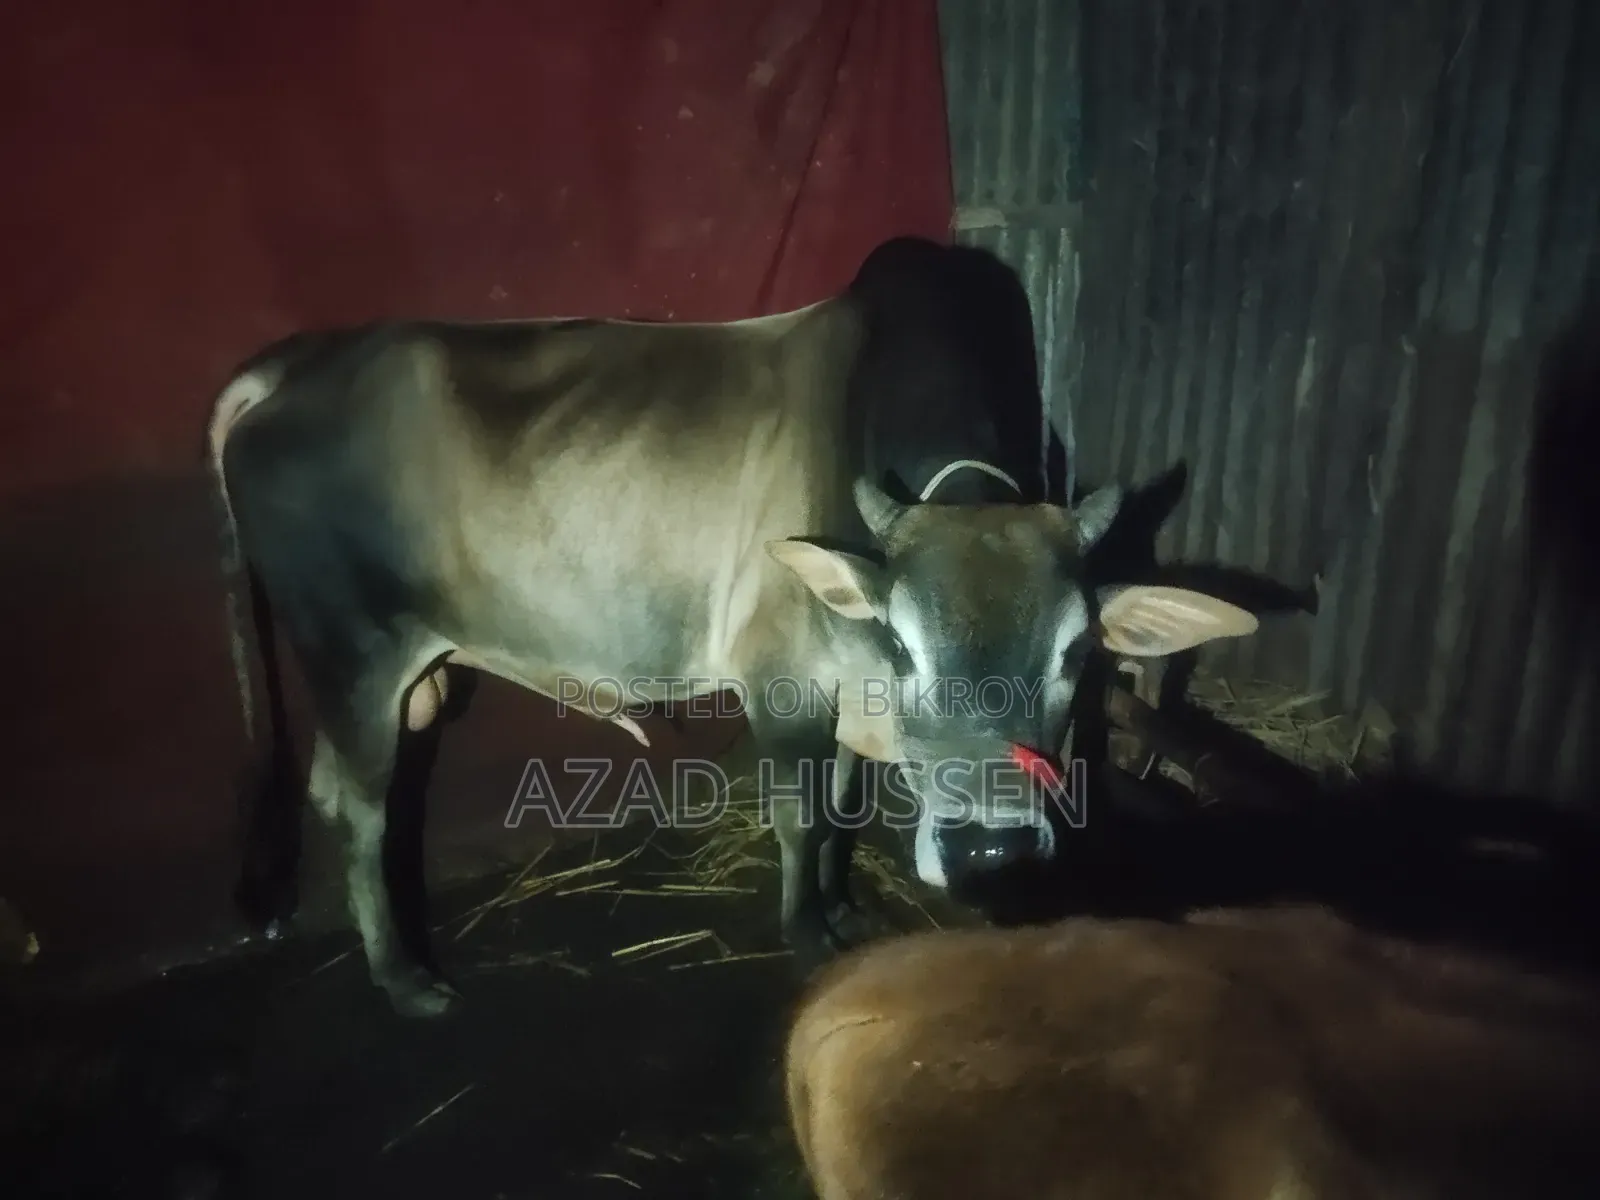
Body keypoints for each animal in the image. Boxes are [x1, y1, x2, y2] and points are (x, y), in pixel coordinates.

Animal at [205, 236, 1259, 1018]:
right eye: (904, 643)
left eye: (1076, 652)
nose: (989, 853)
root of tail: (292, 367)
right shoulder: (781, 682)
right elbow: (802, 815)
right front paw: (807, 934)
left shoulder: (843, 697)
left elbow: (842, 808)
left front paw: (842, 911)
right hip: (354, 657)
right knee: (360, 807)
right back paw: (405, 978)